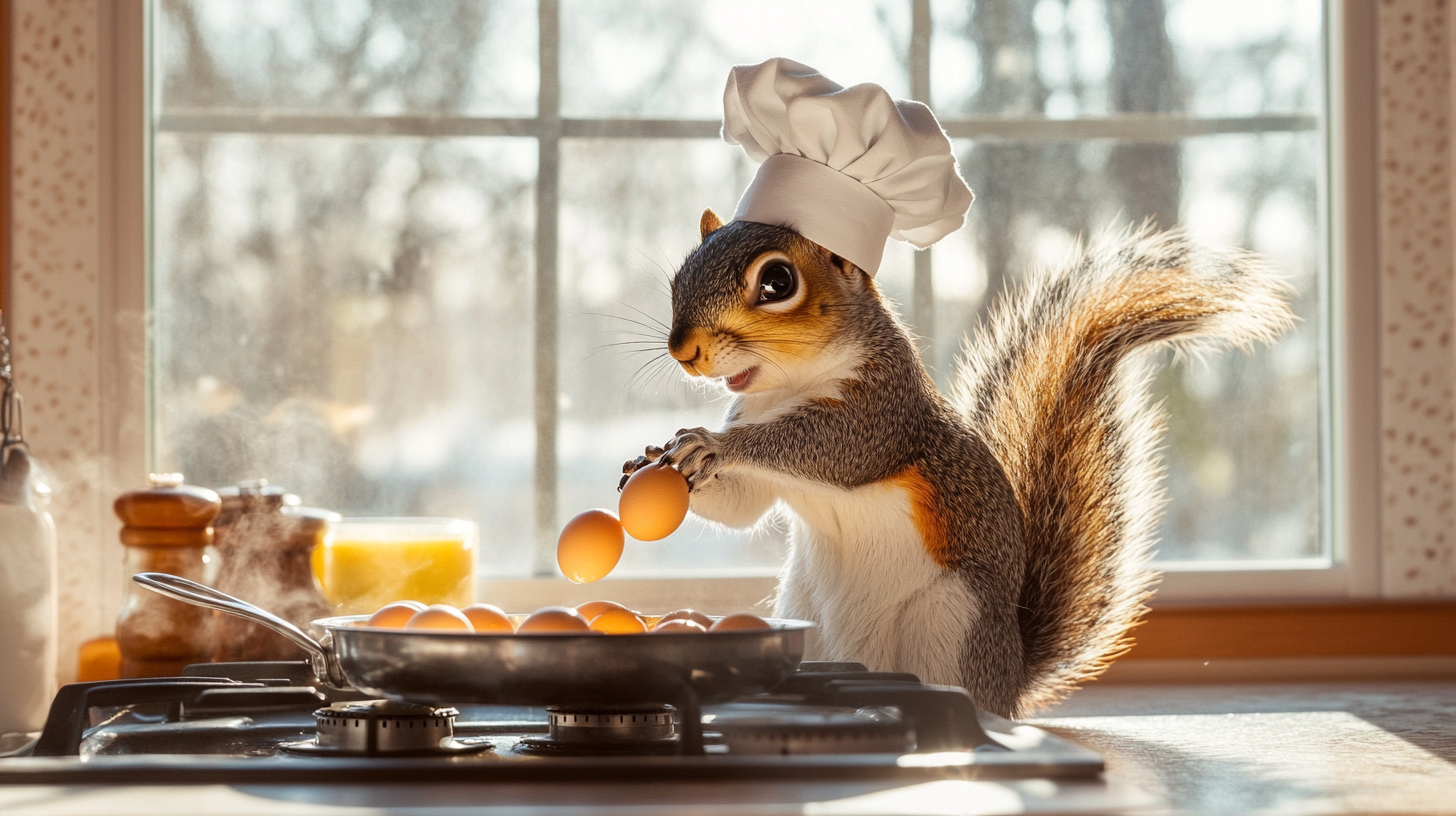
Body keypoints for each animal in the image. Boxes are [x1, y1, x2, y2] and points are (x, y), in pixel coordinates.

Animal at [620, 206, 1292, 716]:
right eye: (681, 273)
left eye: (777, 282)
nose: (683, 350)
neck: (782, 390)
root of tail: (1009, 681)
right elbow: (743, 509)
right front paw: (662, 458)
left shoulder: (883, 414)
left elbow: (829, 450)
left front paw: (713, 444)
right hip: (807, 615)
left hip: (950, 626)